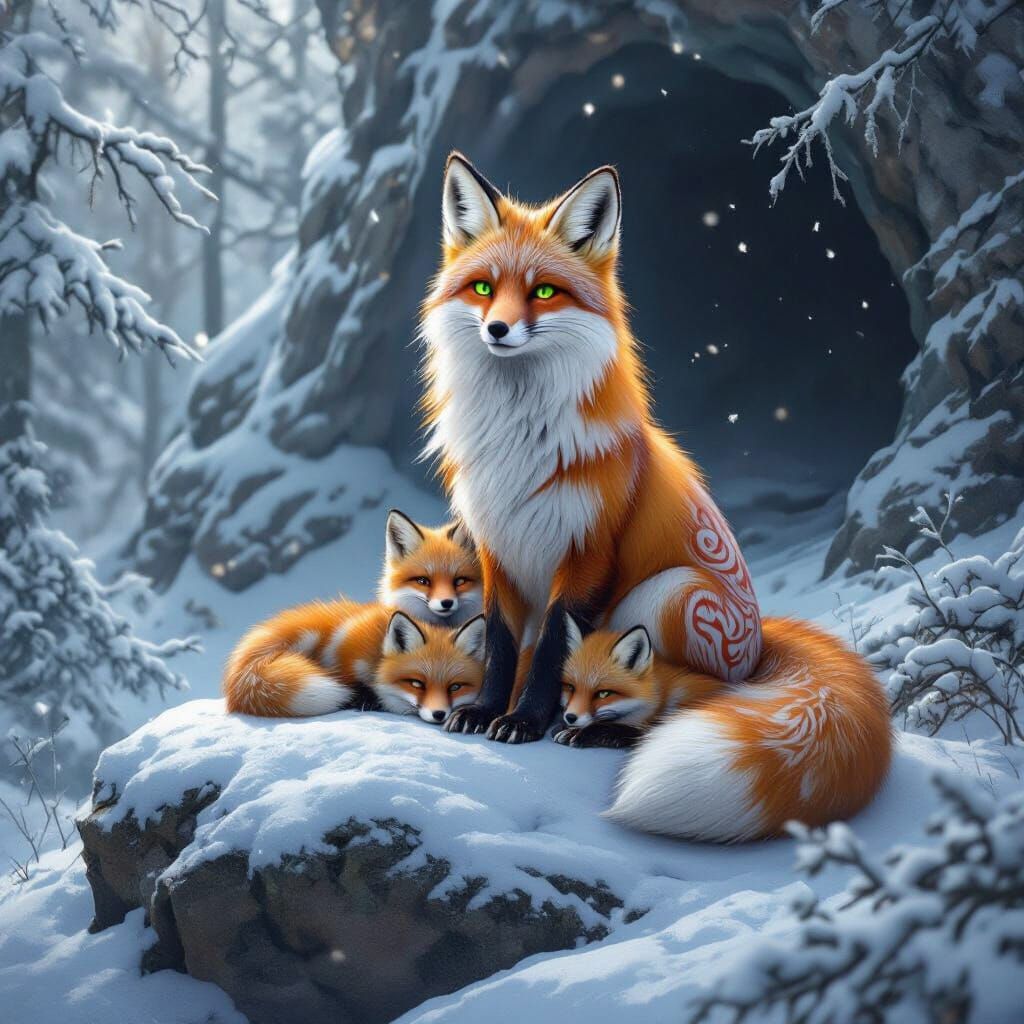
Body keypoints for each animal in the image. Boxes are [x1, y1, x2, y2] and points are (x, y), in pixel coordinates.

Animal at [556, 616, 892, 842]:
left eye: (603, 693)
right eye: (570, 688)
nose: (570, 717)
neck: (668, 687)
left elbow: (638, 729)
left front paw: (586, 734)